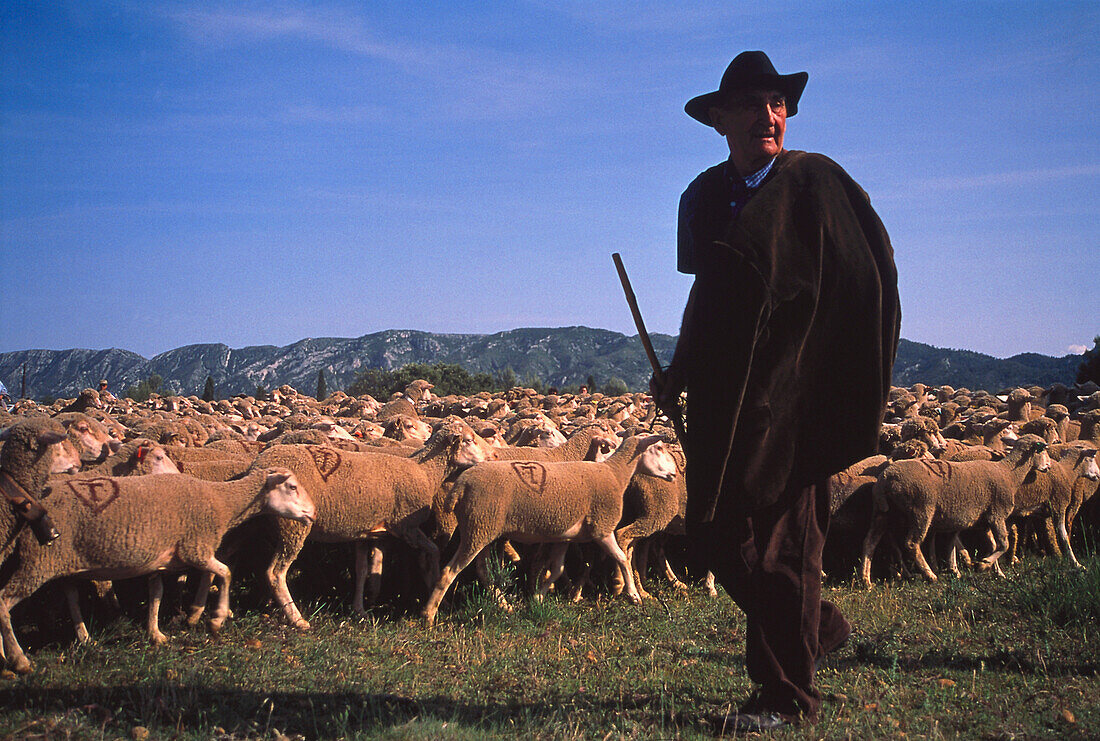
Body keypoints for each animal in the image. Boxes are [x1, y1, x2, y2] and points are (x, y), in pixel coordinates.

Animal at [0, 468, 316, 668]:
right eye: (291, 487)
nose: (313, 513)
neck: (222, 502)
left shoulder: (158, 560)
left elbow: (156, 596)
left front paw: (156, 635)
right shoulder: (195, 547)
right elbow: (224, 572)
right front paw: (215, 619)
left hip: (61, 562)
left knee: (71, 598)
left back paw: (84, 639)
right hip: (38, 561)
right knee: (3, 602)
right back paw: (17, 659)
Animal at [422, 433, 673, 624]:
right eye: (659, 447)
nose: (674, 474)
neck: (615, 475)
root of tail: (460, 486)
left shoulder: (565, 537)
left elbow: (557, 569)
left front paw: (538, 597)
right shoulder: (602, 528)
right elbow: (621, 558)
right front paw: (633, 595)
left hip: (481, 529)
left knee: (483, 571)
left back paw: (503, 605)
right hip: (478, 528)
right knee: (450, 571)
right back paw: (428, 615)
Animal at [858, 430, 1047, 584]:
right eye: (1043, 449)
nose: (1048, 467)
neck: (1009, 473)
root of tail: (885, 478)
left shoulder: (980, 522)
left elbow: (987, 545)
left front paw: (994, 572)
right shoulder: (996, 515)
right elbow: (1003, 544)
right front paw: (983, 564)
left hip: (882, 512)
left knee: (869, 542)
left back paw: (866, 580)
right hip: (921, 510)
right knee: (911, 543)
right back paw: (929, 575)